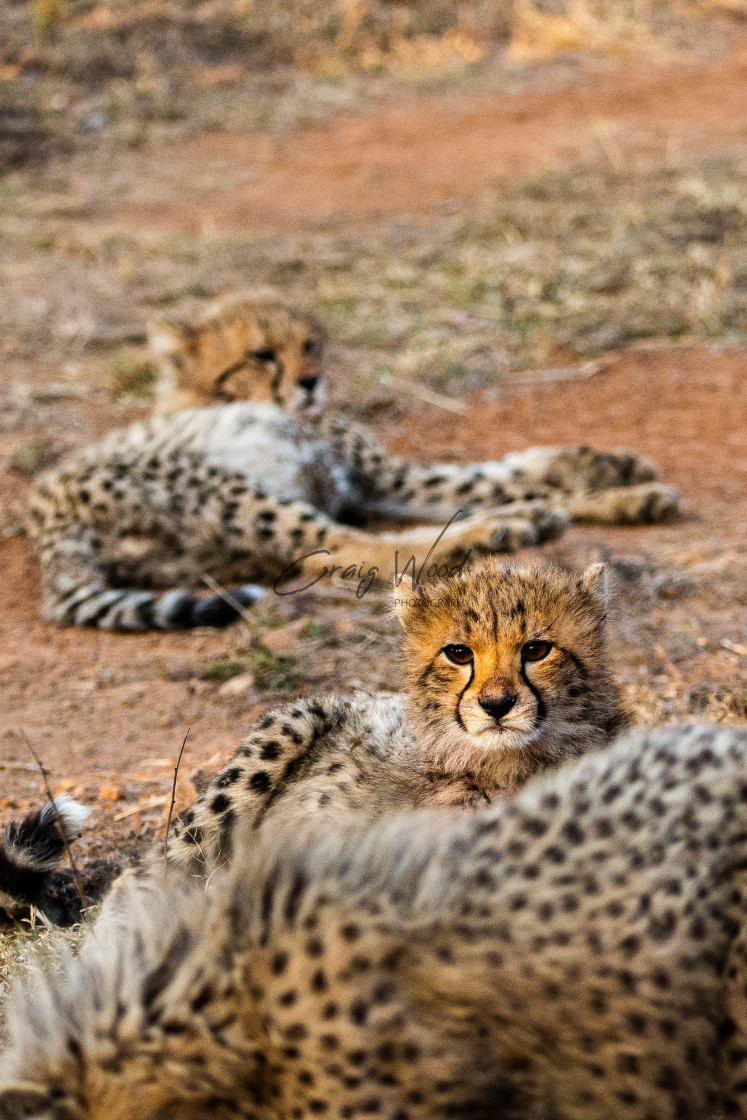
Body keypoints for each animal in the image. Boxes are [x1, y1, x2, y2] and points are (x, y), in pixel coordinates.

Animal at [30, 288, 685, 631]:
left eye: (310, 344)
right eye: (261, 355)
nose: (311, 381)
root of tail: (42, 523)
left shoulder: (368, 481)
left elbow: (503, 471)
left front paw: (621, 479)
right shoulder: (375, 477)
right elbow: (496, 478)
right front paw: (606, 491)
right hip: (219, 486)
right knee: (343, 548)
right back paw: (501, 529)